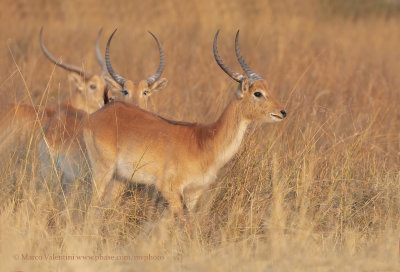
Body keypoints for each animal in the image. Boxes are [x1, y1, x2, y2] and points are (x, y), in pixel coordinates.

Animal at [78, 29, 284, 218]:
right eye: (257, 93)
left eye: (267, 88)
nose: (283, 112)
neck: (206, 140)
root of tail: (98, 114)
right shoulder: (170, 189)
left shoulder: (194, 192)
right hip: (103, 171)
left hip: (120, 178)